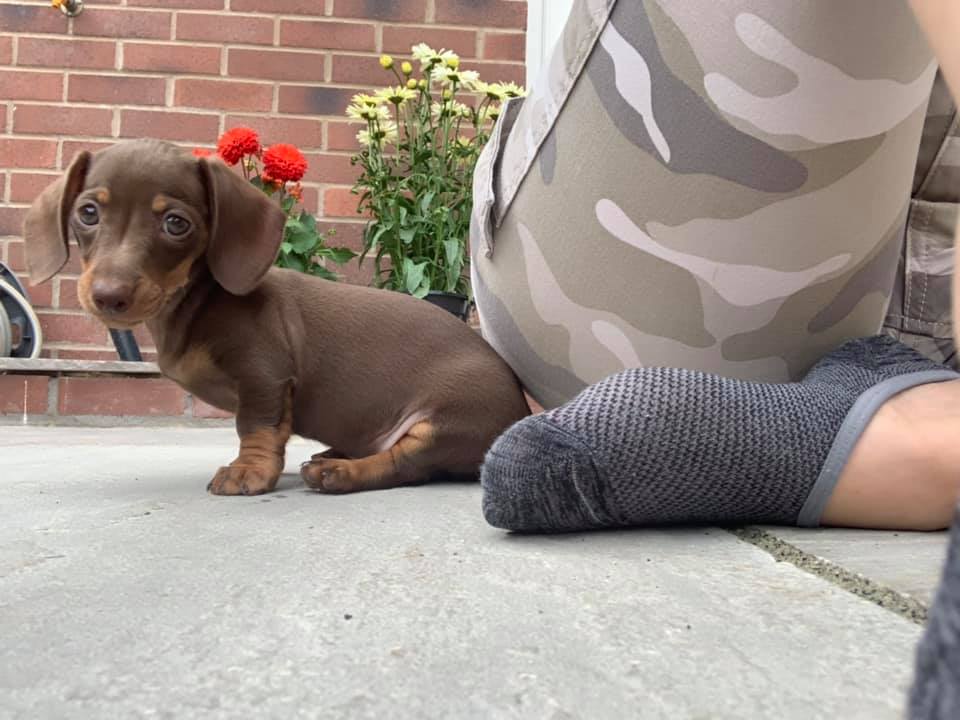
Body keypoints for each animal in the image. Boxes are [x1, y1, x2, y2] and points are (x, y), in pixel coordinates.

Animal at [22, 141, 528, 498]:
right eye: (88, 213)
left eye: (175, 224)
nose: (108, 297)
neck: (194, 302)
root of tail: (520, 405)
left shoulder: (263, 374)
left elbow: (256, 427)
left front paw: (248, 471)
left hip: (445, 420)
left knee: (406, 466)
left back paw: (338, 472)